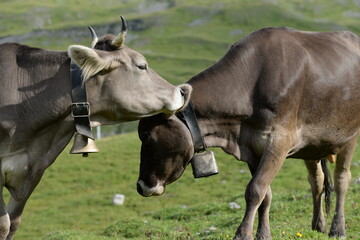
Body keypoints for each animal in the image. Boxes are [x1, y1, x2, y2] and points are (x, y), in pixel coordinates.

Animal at [137, 27, 360, 239]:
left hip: (350, 135)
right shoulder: (252, 147)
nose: (141, 186)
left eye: (146, 135)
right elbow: (265, 194)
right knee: (317, 181)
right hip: (312, 146)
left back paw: (337, 229)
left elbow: (255, 189)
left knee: (342, 179)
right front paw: (263, 234)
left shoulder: (279, 141)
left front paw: (243, 234)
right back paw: (318, 225)